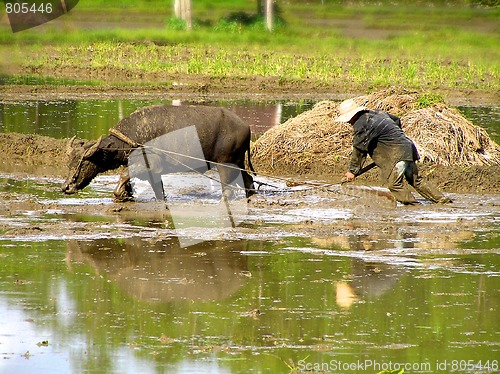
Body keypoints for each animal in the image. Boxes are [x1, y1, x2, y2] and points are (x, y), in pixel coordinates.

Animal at [62, 103, 256, 200]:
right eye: (70, 162)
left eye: (84, 162)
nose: (66, 187)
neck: (131, 139)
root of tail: (246, 126)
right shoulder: (154, 173)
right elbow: (158, 191)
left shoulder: (150, 164)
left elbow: (124, 175)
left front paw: (121, 193)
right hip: (238, 162)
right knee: (249, 181)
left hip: (225, 164)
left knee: (228, 190)